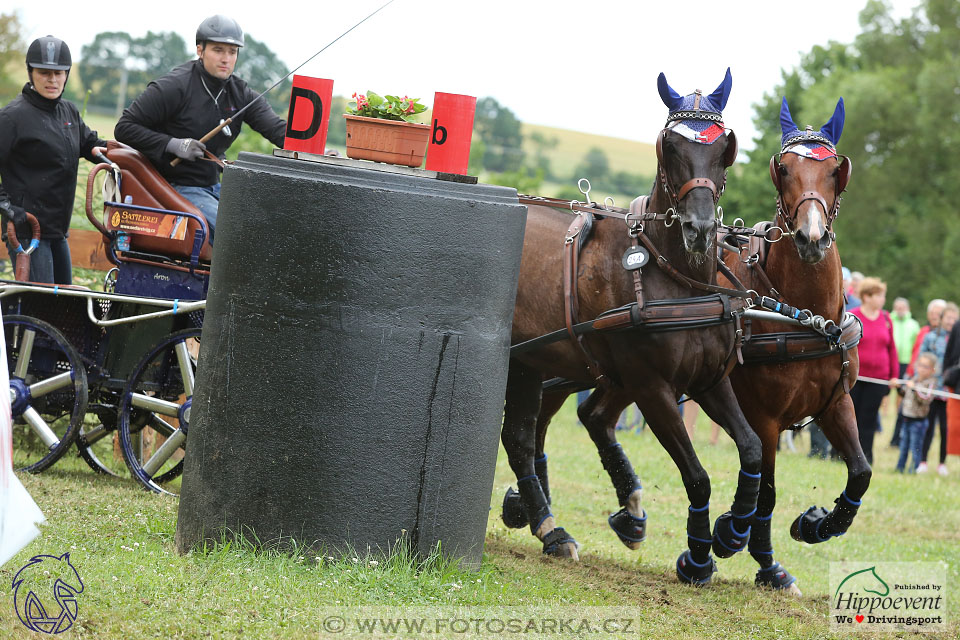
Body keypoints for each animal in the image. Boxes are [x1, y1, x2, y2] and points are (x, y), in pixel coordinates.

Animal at [502, 70, 764, 584]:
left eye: (724, 146)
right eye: (670, 146)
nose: (700, 229)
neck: (675, 277)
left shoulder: (710, 380)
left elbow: (751, 448)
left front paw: (734, 529)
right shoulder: (651, 388)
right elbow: (698, 475)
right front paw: (699, 555)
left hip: (531, 362)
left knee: (524, 436)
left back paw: (549, 524)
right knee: (522, 437)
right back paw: (550, 528)